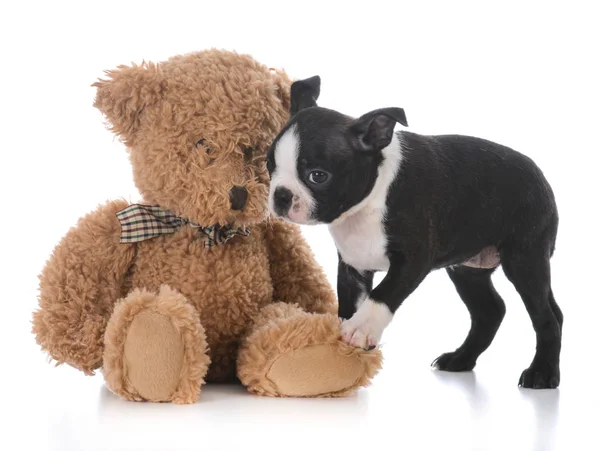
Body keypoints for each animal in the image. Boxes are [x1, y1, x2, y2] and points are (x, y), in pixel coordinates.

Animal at [268, 76, 564, 390]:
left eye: (318, 176)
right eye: (268, 165)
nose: (281, 196)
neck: (367, 205)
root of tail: (541, 176)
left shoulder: (413, 259)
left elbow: (383, 294)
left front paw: (361, 328)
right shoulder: (353, 265)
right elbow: (349, 303)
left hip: (524, 259)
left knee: (546, 317)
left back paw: (542, 373)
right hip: (467, 269)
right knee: (490, 311)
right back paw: (460, 359)